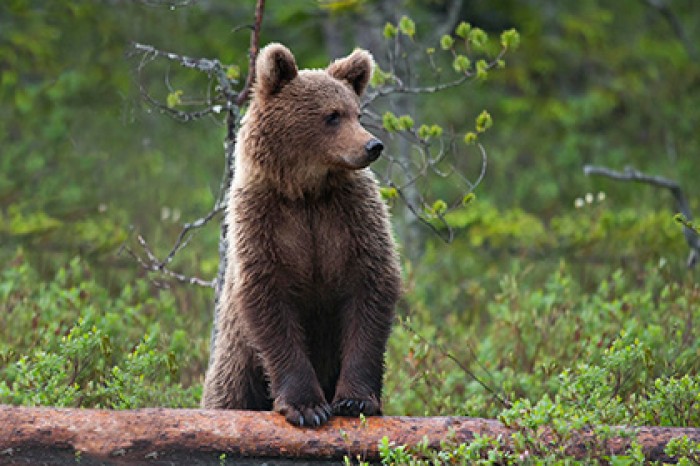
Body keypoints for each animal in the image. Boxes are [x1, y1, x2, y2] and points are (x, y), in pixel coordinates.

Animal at [200, 41, 402, 428]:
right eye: (332, 115)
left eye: (357, 113)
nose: (373, 145)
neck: (306, 191)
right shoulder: (263, 220)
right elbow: (270, 302)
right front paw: (308, 407)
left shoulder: (350, 217)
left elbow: (371, 286)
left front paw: (355, 399)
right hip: (235, 371)